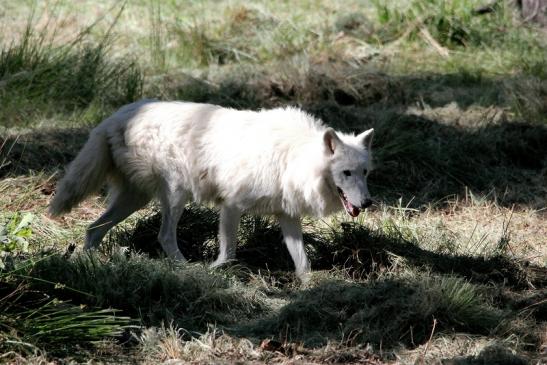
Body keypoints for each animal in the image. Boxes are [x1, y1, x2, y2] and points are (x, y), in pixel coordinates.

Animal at [49, 98, 374, 278]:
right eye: (345, 173)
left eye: (365, 172)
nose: (368, 203)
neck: (291, 158)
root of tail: (115, 116)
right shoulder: (231, 205)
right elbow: (229, 251)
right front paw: (216, 271)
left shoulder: (287, 216)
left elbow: (302, 259)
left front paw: (308, 283)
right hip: (175, 195)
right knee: (164, 236)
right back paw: (186, 268)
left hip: (135, 199)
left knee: (93, 229)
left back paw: (91, 264)